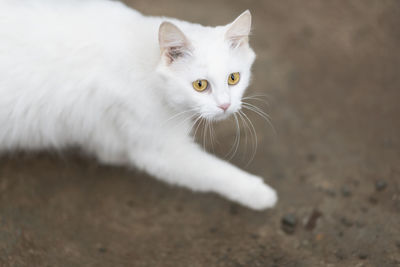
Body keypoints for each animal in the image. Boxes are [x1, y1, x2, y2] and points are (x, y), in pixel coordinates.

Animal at [0, 0, 276, 211]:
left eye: (234, 78)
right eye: (200, 85)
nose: (225, 105)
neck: (147, 63)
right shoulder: (159, 151)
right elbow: (215, 171)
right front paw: (260, 194)